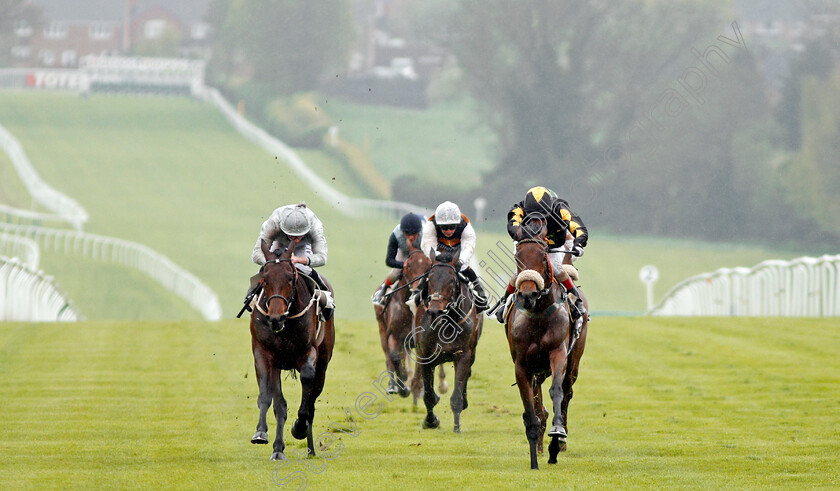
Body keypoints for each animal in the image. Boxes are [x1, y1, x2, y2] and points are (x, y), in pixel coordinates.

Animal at [248, 242, 334, 462]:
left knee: (312, 398)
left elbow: (307, 382)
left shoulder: (308, 351)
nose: (275, 318)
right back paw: (280, 448)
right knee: (279, 403)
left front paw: (299, 427)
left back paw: (310, 446)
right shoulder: (264, 354)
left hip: (324, 362)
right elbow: (270, 397)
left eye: (290, 277)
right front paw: (262, 434)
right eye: (265, 278)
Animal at [376, 245, 430, 396]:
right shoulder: (395, 335)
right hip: (382, 330)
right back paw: (393, 386)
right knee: (389, 358)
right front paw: (403, 387)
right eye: (409, 265)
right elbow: (394, 358)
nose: (418, 288)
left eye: (428, 265)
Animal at [410, 252, 482, 432]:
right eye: (429, 279)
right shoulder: (425, 355)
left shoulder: (463, 354)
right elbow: (428, 395)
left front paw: (456, 426)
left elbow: (457, 395)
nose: (435, 310)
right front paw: (430, 421)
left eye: (451, 280)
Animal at [506, 221, 592, 470]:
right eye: (518, 257)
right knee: (538, 400)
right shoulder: (522, 365)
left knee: (567, 392)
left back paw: (560, 441)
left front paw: (557, 436)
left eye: (543, 256)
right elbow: (530, 404)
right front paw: (535, 450)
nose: (528, 294)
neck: (537, 315)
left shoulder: (558, 354)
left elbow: (557, 392)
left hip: (573, 362)